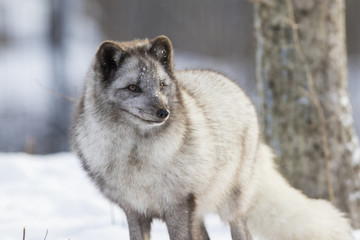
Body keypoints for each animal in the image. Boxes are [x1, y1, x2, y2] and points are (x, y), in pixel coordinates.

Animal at [71, 34, 352, 239]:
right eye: (133, 87)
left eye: (161, 85)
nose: (164, 112)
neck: (135, 154)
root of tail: (235, 87)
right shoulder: (134, 211)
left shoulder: (178, 207)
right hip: (198, 213)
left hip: (230, 206)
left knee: (241, 231)